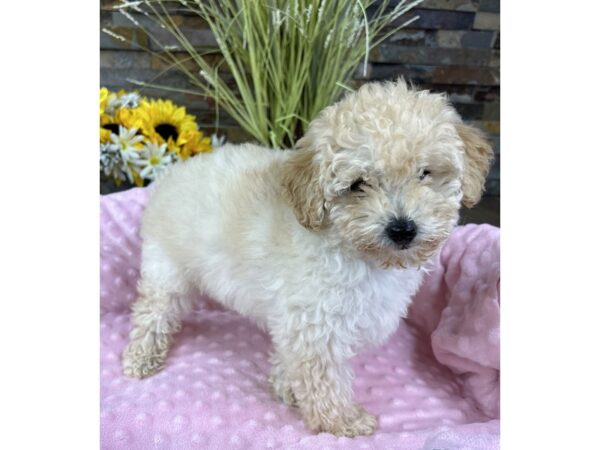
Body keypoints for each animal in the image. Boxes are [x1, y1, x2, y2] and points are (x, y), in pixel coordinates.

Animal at [120, 78, 492, 436]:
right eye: (358, 185)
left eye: (425, 173)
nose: (402, 229)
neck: (356, 252)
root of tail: (173, 175)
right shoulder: (316, 325)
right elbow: (323, 378)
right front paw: (343, 422)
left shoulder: (298, 324)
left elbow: (291, 358)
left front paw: (285, 386)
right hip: (165, 267)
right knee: (153, 314)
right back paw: (140, 357)